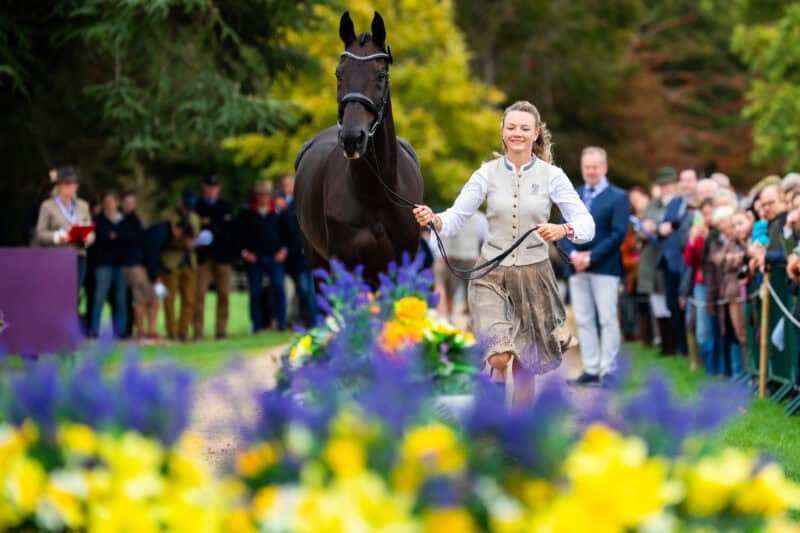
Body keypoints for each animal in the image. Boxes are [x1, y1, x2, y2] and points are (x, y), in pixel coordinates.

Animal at [293, 11, 424, 286]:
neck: (376, 194)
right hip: (317, 261)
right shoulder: (346, 267)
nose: (352, 138)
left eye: (381, 75)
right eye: (338, 73)